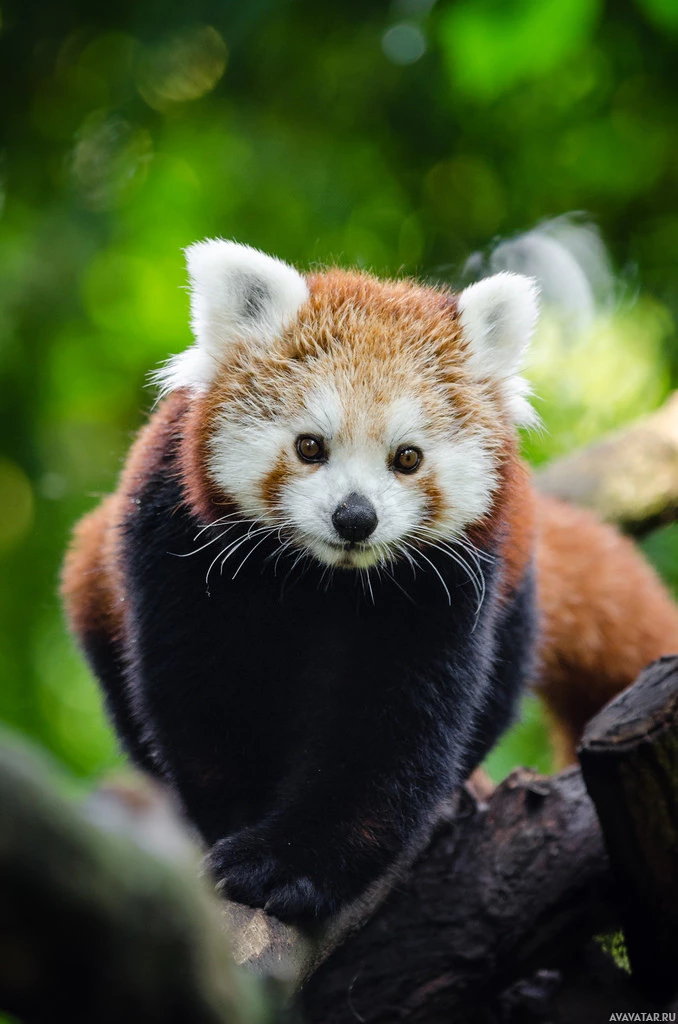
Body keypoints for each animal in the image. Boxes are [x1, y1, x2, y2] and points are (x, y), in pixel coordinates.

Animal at [61, 243, 675, 925]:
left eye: (407, 457)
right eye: (309, 446)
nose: (355, 517)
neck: (321, 580)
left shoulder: (444, 587)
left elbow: (391, 732)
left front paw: (289, 863)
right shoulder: (176, 547)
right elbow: (200, 700)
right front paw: (236, 824)